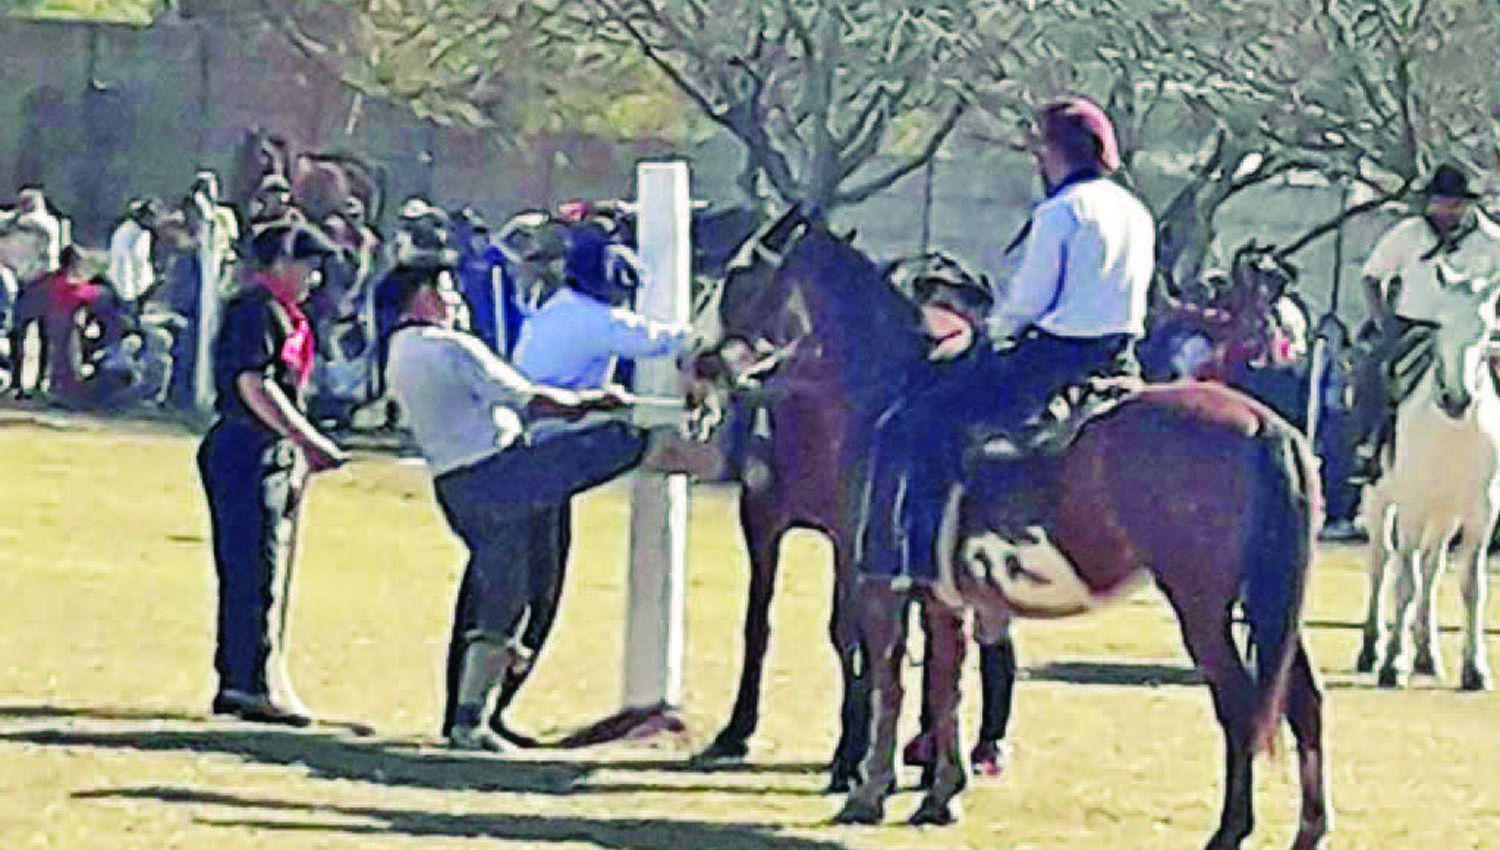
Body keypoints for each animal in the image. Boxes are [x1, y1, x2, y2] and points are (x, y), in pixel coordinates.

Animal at [696, 208, 1332, 850]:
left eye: (740, 275)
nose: (698, 360)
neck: (884, 394)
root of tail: (1264, 425)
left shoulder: (879, 582)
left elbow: (890, 677)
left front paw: (869, 791)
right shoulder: (941, 596)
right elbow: (944, 684)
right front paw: (940, 794)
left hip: (1201, 605)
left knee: (1240, 704)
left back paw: (1230, 830)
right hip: (1265, 602)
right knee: (1302, 701)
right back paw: (1308, 829)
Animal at [1362, 266, 1500, 692]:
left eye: (1486, 330)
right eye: (1440, 324)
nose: (1456, 398)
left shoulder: (1480, 514)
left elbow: (1472, 586)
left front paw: (1475, 668)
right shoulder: (1412, 507)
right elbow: (1403, 580)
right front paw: (1393, 662)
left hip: (1444, 516)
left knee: (1431, 566)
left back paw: (1426, 653)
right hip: (1379, 502)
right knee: (1381, 562)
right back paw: (1371, 649)